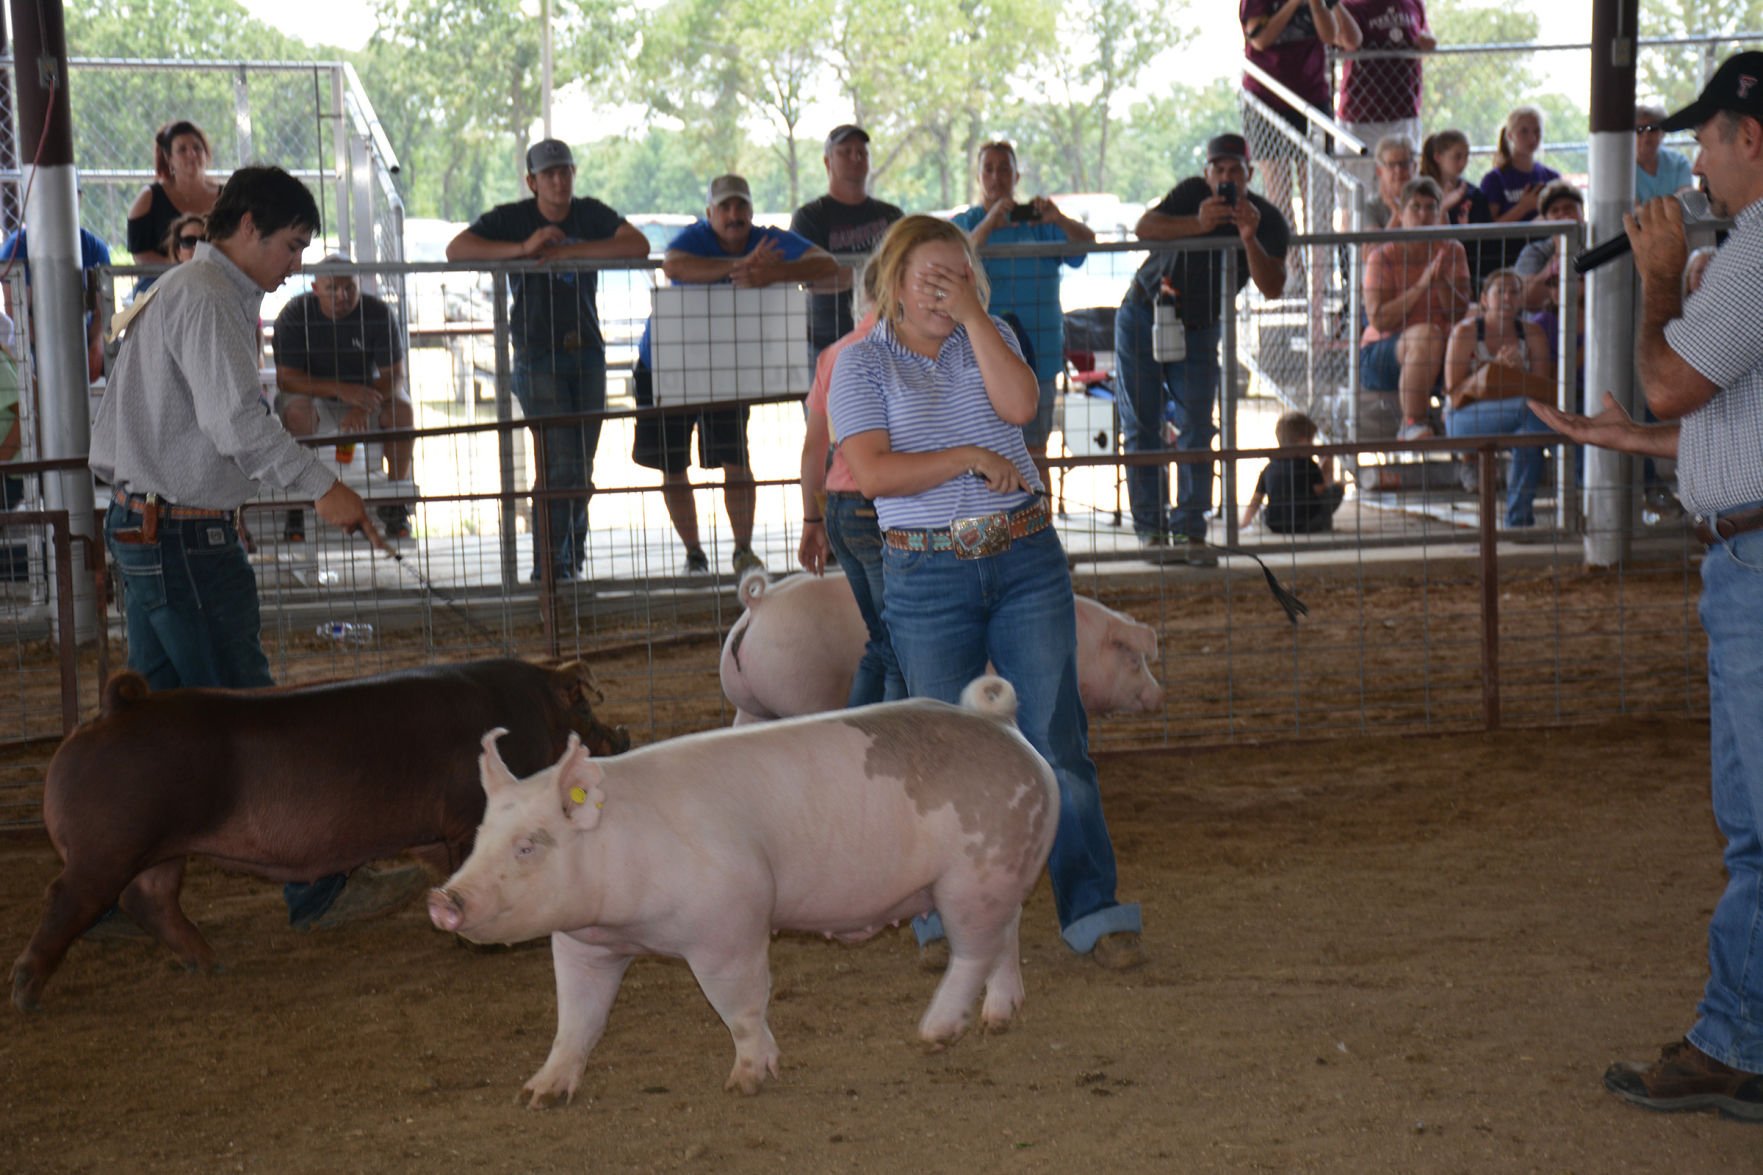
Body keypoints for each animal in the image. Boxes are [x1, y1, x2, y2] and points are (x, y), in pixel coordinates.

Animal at [426, 673, 1057, 1100]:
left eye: (528, 845)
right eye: (482, 836)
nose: (443, 900)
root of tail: (1003, 726)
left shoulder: (731, 924)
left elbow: (741, 1004)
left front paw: (745, 1082)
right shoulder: (581, 944)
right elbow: (577, 1018)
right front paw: (539, 1094)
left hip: (972, 874)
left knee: (973, 951)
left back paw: (934, 1033)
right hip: (1001, 872)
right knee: (1005, 936)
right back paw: (999, 1018)